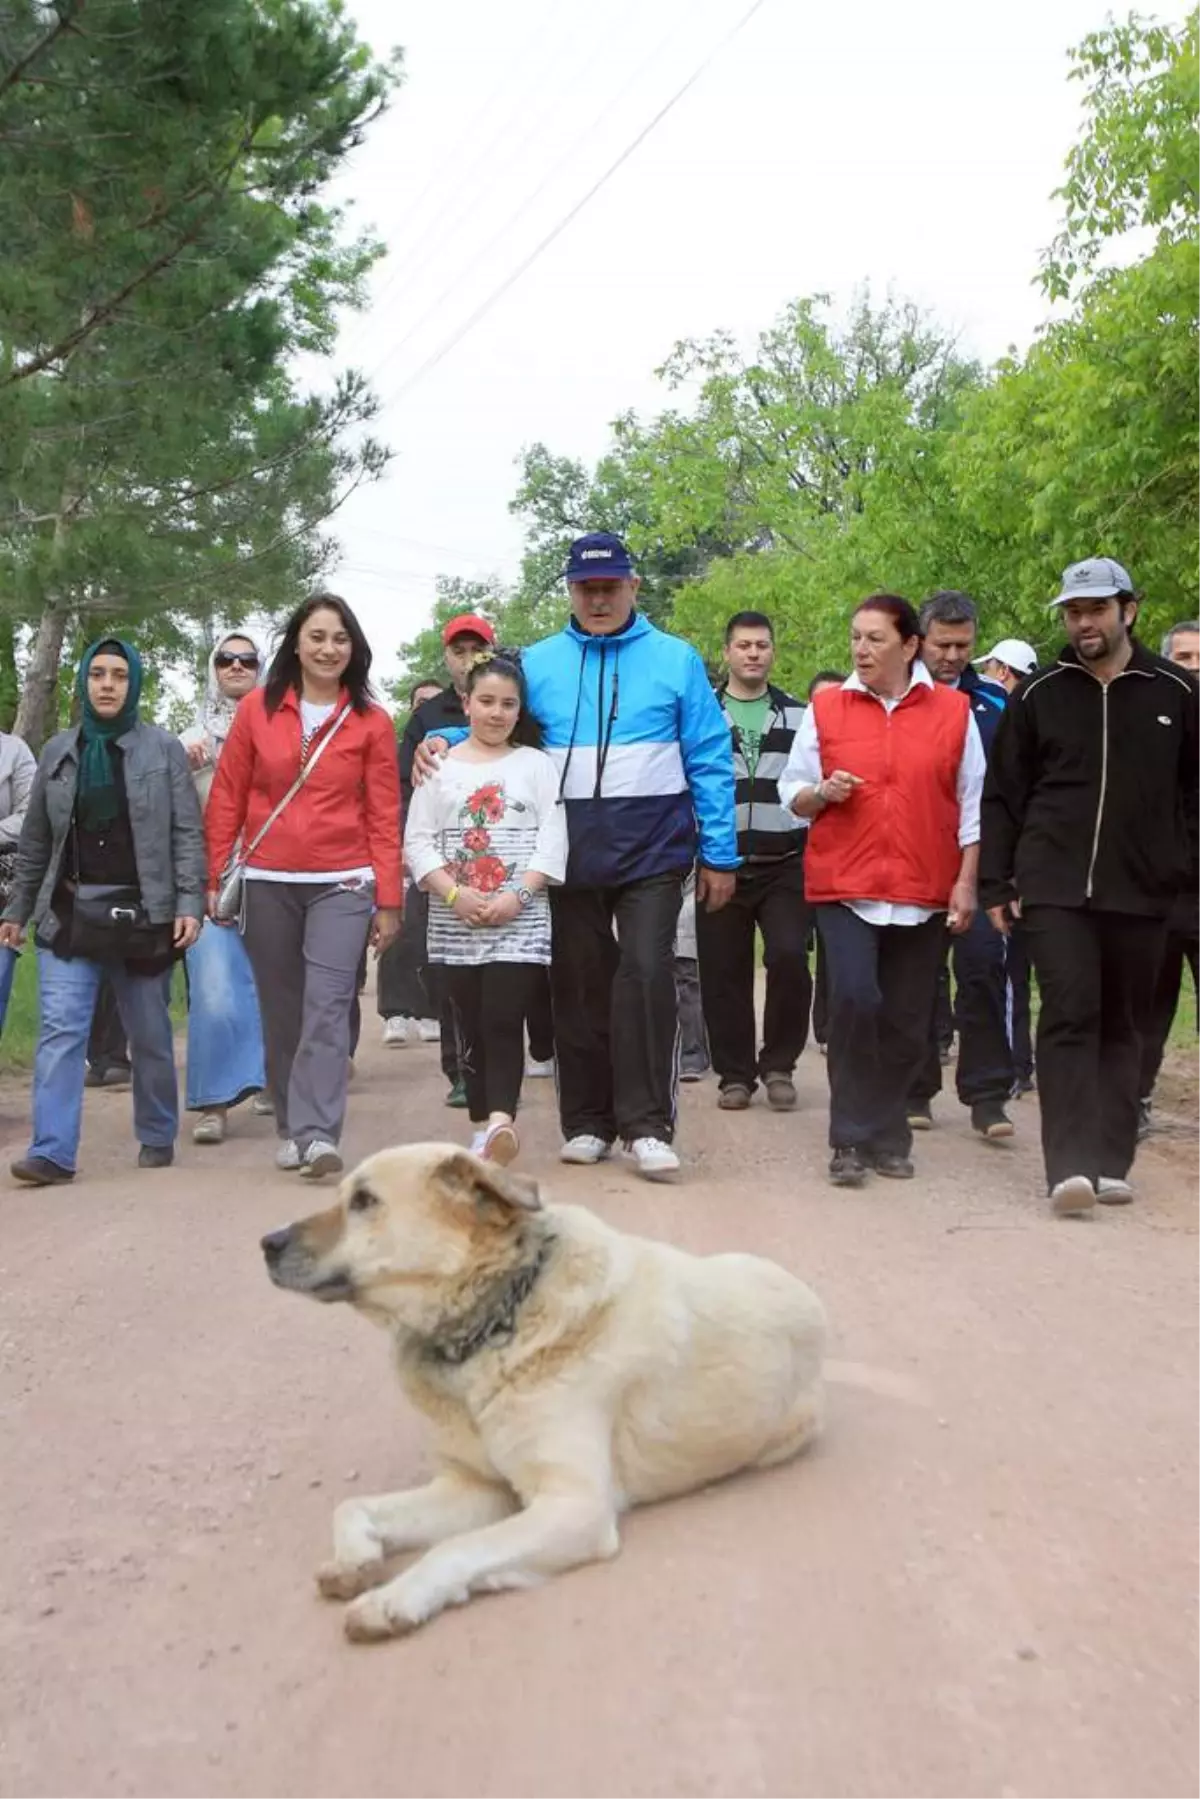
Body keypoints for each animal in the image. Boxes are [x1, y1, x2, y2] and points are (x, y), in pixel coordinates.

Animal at [260, 1144, 827, 1640]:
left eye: (364, 1201)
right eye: (343, 1195)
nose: (266, 1243)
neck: (496, 1320)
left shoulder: (575, 1506)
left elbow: (457, 1548)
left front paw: (391, 1600)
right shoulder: (474, 1487)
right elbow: (353, 1505)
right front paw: (357, 1561)